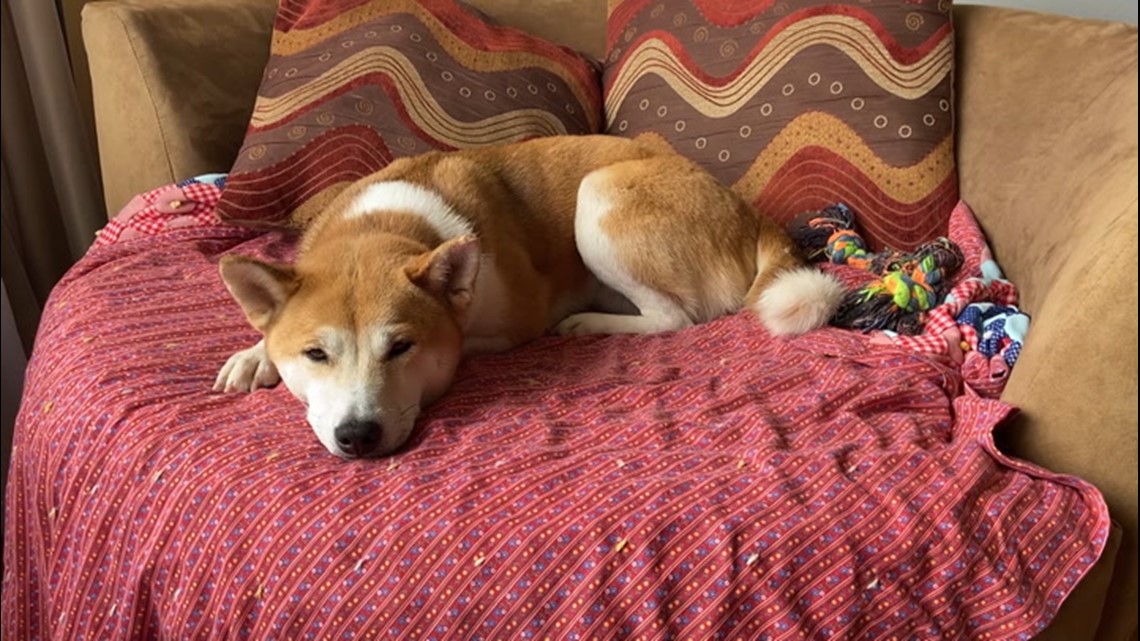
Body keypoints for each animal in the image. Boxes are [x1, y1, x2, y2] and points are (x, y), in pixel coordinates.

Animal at [214, 135, 844, 458]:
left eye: (401, 348)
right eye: (316, 354)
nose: (357, 437)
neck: (382, 228)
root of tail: (750, 212)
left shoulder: (512, 322)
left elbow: (467, 338)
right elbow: (268, 326)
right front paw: (255, 355)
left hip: (599, 196)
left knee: (676, 315)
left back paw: (591, 321)